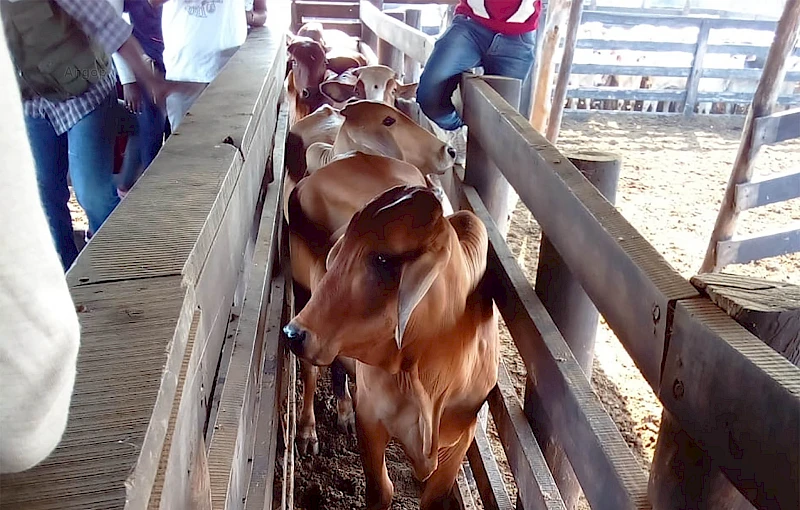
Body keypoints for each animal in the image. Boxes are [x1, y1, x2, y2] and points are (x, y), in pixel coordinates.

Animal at [284, 178, 496, 506]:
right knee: (310, 373)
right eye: (343, 246)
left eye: (383, 259)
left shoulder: (462, 435)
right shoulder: (371, 416)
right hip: (303, 292)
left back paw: (344, 412)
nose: (293, 333)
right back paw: (307, 433)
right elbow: (381, 490)